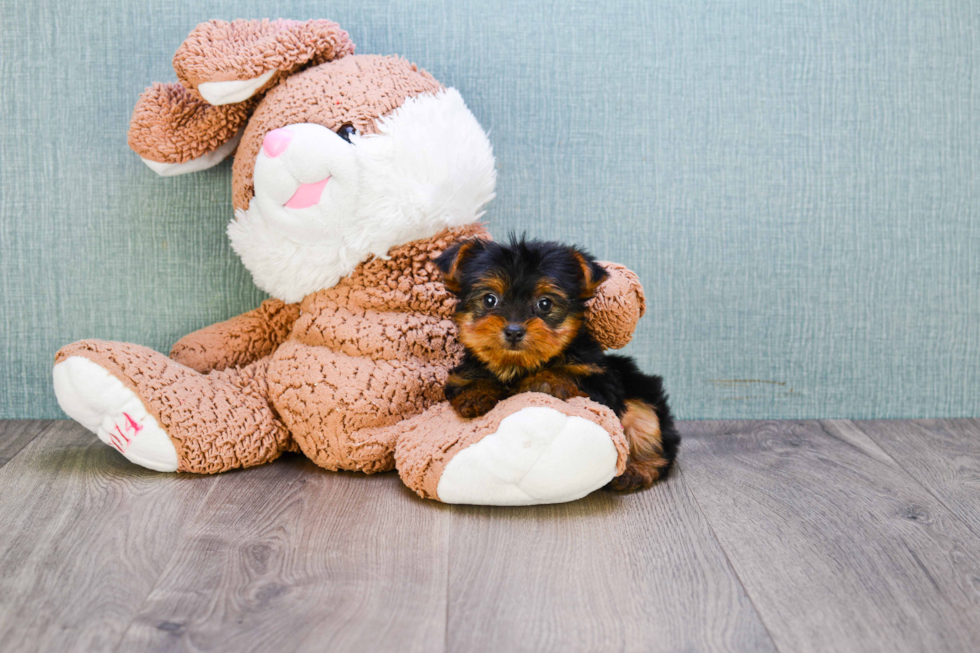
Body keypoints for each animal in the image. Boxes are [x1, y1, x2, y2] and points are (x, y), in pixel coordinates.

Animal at [436, 236, 680, 488]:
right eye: (489, 299)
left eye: (545, 304)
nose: (513, 331)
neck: (518, 364)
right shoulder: (462, 373)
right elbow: (470, 380)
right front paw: (476, 394)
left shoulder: (600, 380)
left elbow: (569, 373)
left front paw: (545, 380)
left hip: (642, 399)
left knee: (649, 431)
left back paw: (636, 470)